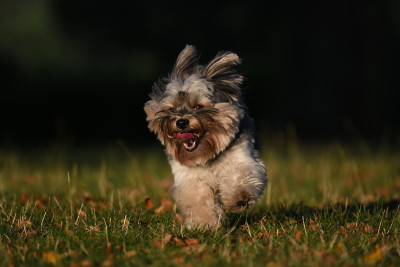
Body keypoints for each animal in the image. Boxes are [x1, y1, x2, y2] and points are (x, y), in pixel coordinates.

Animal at [144, 45, 266, 229]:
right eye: (172, 109)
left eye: (198, 106)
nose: (181, 122)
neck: (207, 154)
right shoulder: (190, 178)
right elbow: (198, 200)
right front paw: (205, 225)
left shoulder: (241, 157)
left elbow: (239, 175)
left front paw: (240, 198)